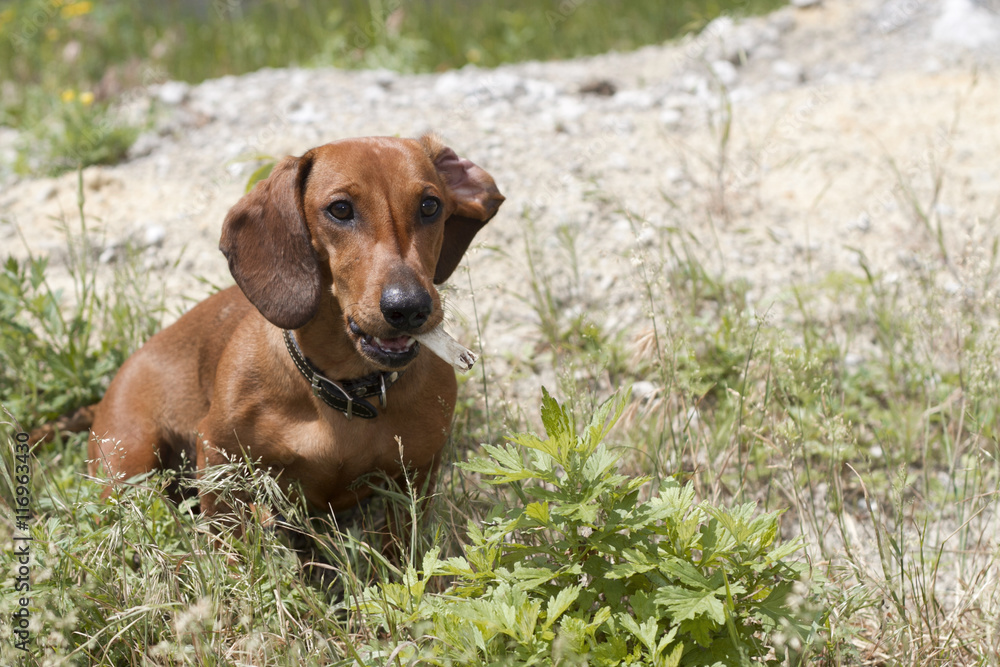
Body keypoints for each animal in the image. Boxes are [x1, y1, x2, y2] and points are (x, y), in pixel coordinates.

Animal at [89, 136, 504, 520]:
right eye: (340, 209)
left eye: (430, 205)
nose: (409, 308)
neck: (346, 390)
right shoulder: (218, 457)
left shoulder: (416, 476)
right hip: (129, 465)